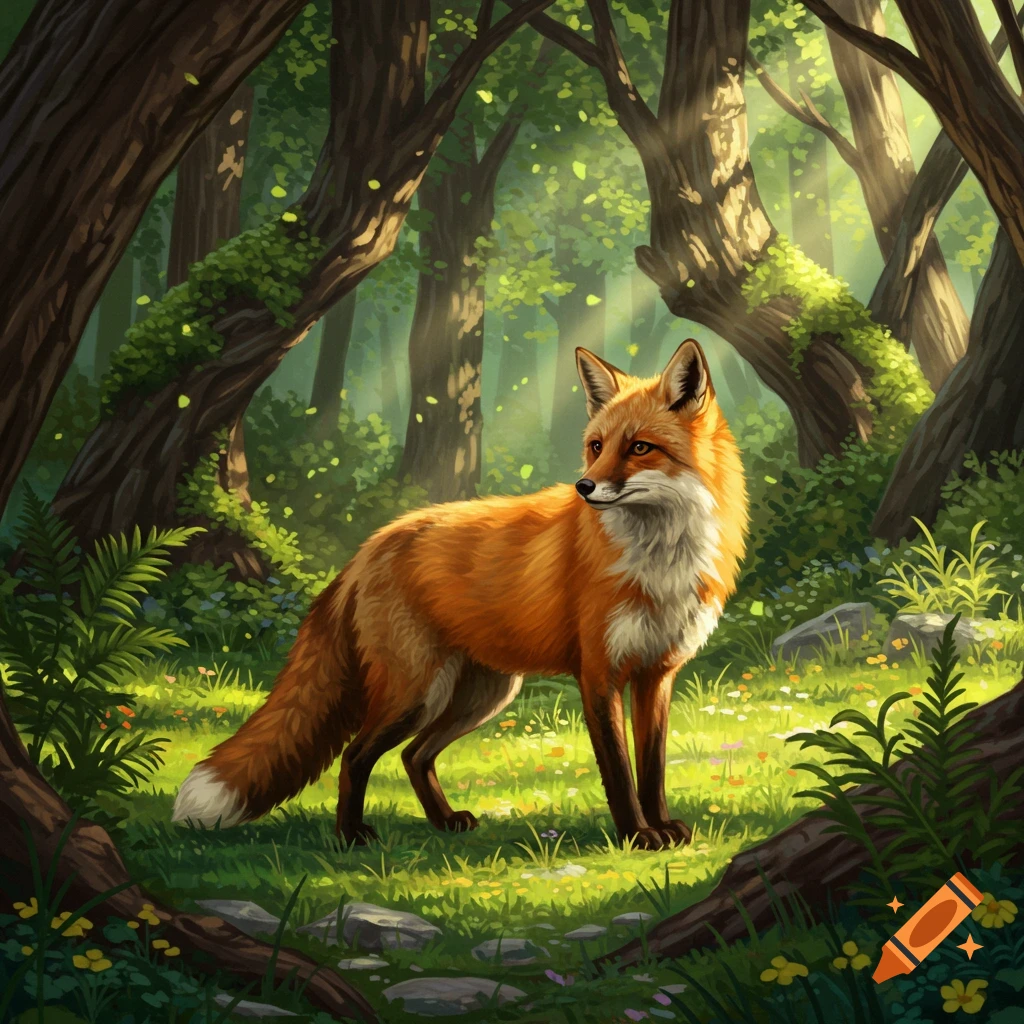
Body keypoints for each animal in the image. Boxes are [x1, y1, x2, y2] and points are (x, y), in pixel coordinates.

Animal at [172, 339, 748, 850]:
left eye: (640, 447)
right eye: (597, 447)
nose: (583, 487)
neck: (659, 559)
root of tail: (372, 545)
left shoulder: (656, 674)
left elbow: (652, 769)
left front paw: (663, 827)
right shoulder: (599, 674)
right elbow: (620, 773)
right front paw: (637, 836)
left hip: (481, 695)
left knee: (414, 756)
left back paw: (444, 822)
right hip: (417, 692)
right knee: (356, 756)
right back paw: (351, 836)